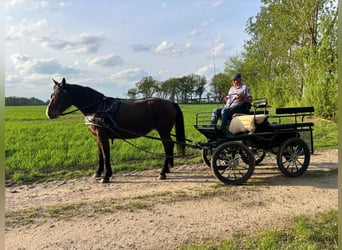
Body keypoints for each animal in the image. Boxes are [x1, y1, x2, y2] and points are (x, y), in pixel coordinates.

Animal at [45, 78, 186, 184]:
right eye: (52, 94)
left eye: (61, 94)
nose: (49, 113)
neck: (98, 107)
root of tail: (170, 102)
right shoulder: (98, 136)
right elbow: (100, 154)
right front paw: (98, 173)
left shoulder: (102, 135)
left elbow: (106, 154)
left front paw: (106, 177)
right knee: (170, 145)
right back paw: (167, 169)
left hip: (163, 131)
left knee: (168, 146)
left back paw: (162, 173)